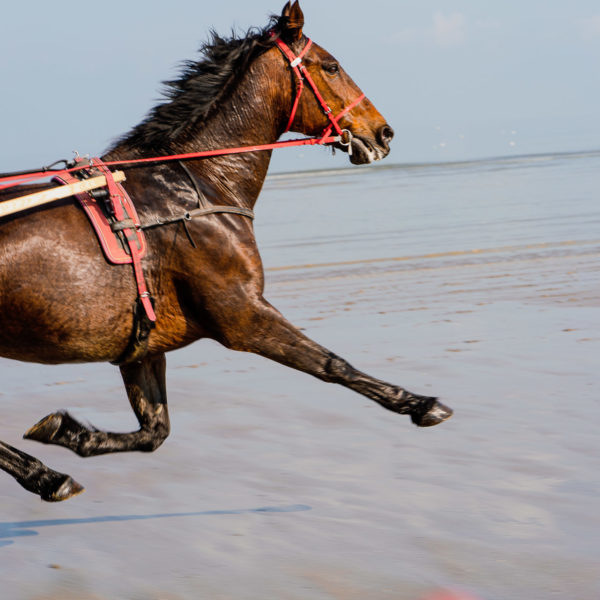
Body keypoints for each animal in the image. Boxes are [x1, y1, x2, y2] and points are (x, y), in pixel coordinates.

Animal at [0, 1, 450, 502]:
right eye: (332, 65)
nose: (383, 132)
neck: (196, 188)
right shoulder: (243, 315)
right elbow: (331, 363)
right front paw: (420, 403)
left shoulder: (142, 346)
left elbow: (154, 432)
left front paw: (68, 431)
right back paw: (43, 475)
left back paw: (44, 473)